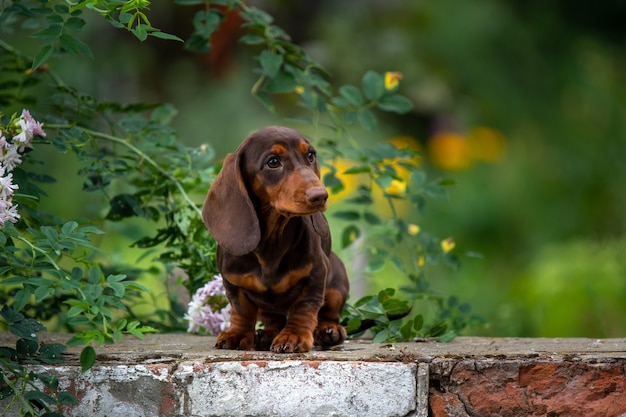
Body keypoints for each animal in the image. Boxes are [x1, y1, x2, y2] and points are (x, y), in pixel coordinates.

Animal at [201, 124, 348, 352]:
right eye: (273, 162)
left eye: (310, 155)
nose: (320, 196)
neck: (270, 243)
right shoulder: (232, 283)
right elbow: (241, 310)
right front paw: (237, 334)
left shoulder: (316, 275)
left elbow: (303, 308)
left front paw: (293, 336)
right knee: (273, 319)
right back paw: (267, 334)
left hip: (336, 284)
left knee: (328, 313)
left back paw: (328, 330)